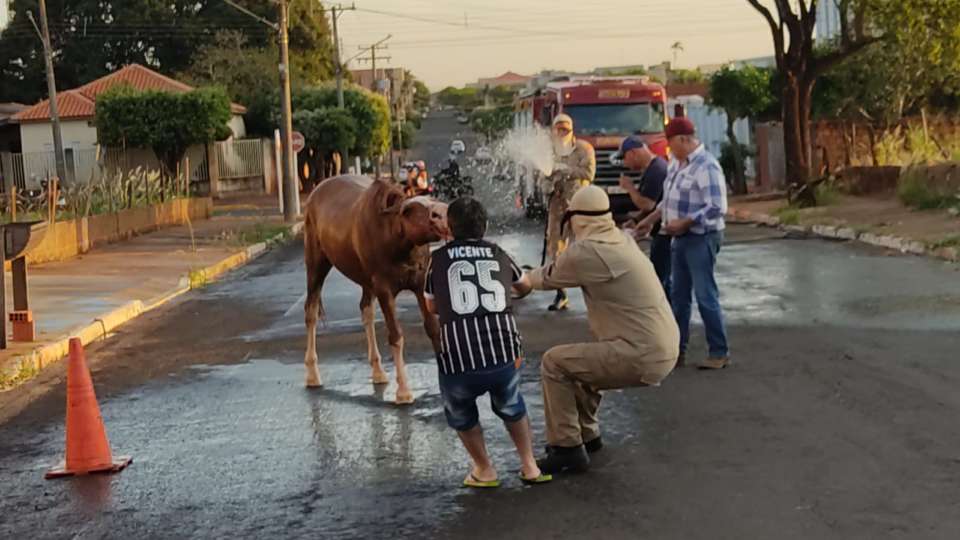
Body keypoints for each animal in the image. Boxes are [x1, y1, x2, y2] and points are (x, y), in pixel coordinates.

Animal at [302, 175, 448, 402]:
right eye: (424, 212)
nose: (447, 212)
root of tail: (315, 192)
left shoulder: (419, 283)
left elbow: (432, 327)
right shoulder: (384, 288)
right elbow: (396, 335)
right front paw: (403, 391)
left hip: (366, 280)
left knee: (365, 310)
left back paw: (378, 371)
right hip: (316, 263)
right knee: (311, 311)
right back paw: (312, 374)